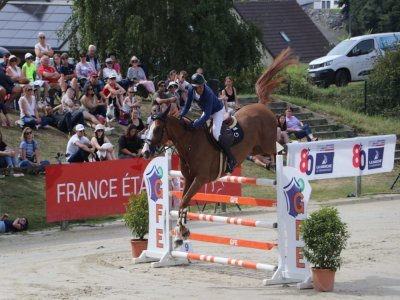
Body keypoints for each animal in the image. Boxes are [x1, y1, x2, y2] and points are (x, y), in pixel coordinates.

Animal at [143, 48, 296, 246]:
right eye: (148, 127)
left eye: (157, 129)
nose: (145, 151)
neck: (190, 144)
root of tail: (261, 106)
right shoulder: (189, 178)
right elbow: (184, 201)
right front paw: (180, 234)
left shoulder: (200, 179)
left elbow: (184, 201)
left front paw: (180, 233)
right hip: (255, 148)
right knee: (260, 155)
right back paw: (269, 165)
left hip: (267, 142)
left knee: (281, 148)